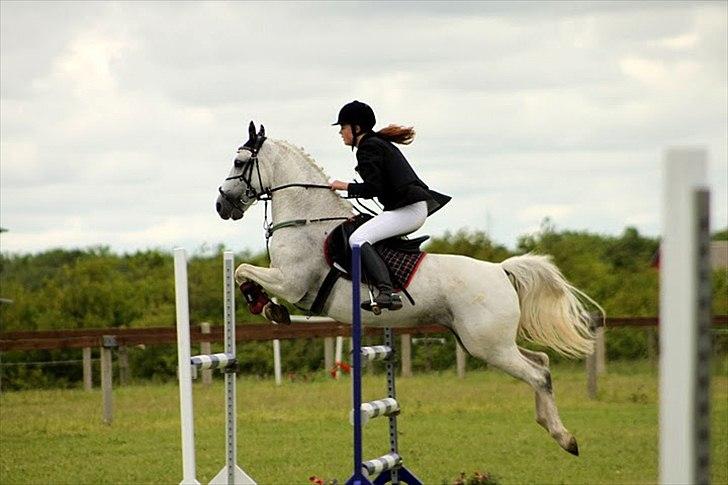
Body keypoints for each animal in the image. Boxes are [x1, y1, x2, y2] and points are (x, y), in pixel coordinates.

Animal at [216, 122, 602, 456]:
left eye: (238, 162)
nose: (221, 206)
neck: (307, 219)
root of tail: (499, 270)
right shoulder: (288, 280)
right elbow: (243, 271)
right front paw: (269, 307)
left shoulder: (292, 281)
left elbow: (242, 270)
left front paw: (265, 306)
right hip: (486, 342)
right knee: (542, 363)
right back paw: (556, 430)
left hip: (488, 345)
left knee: (537, 374)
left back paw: (564, 438)